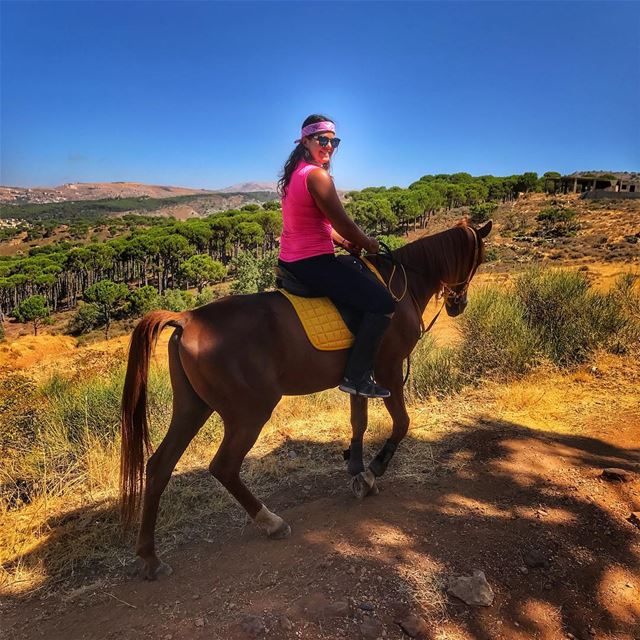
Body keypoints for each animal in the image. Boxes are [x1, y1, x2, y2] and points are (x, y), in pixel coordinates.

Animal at [120, 220, 490, 580]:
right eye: (478, 260)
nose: (459, 305)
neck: (400, 282)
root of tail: (187, 319)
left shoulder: (361, 378)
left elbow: (359, 422)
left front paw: (358, 472)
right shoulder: (388, 369)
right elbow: (401, 423)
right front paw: (374, 470)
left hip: (192, 407)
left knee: (159, 467)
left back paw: (150, 558)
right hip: (248, 413)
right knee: (223, 466)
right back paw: (271, 522)